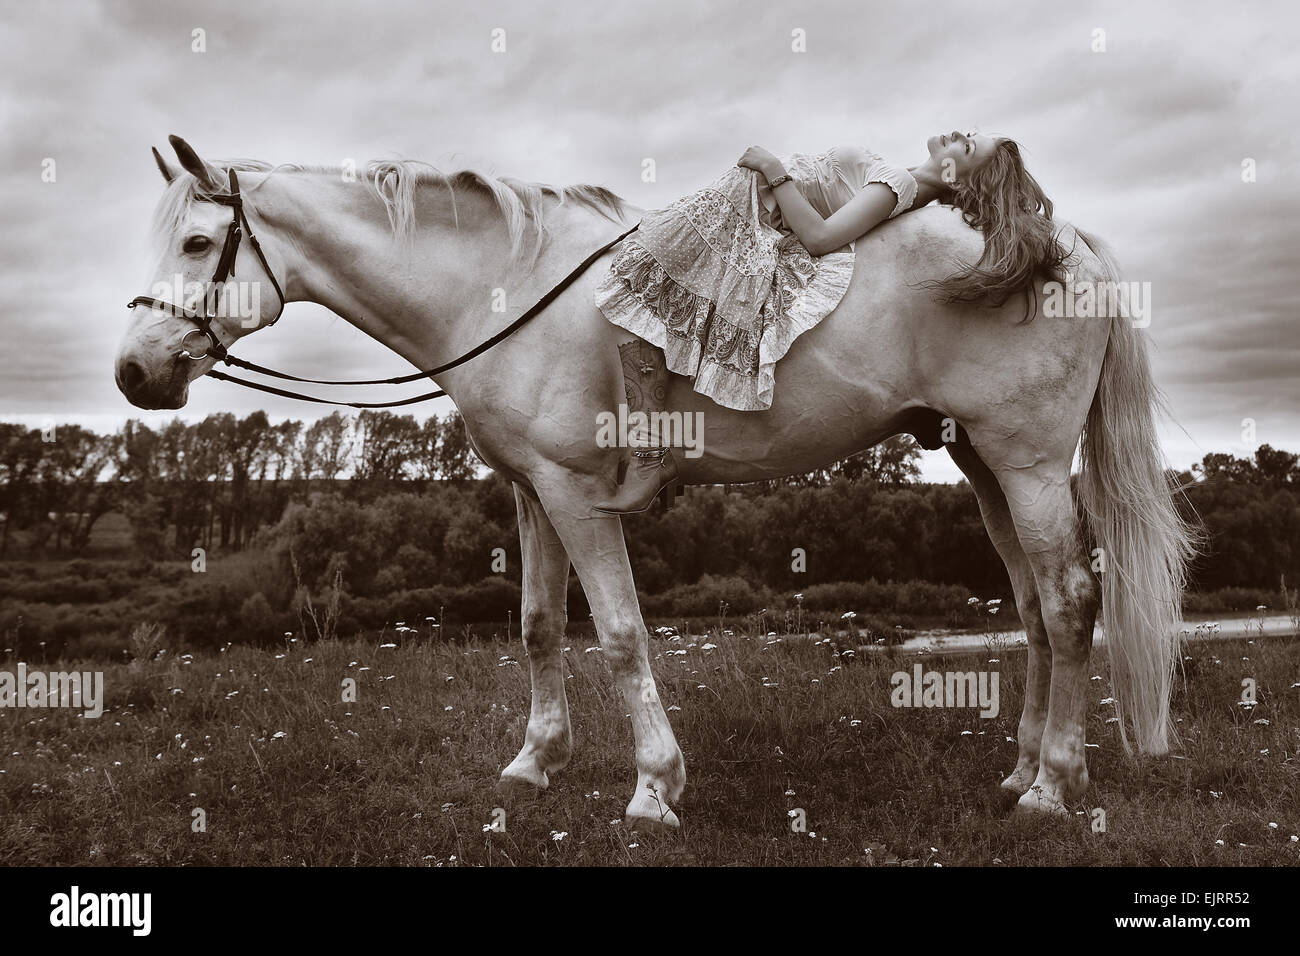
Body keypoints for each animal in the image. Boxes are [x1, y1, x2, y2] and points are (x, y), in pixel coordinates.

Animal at [116, 136, 1190, 832]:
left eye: (199, 245)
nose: (134, 373)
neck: (501, 291)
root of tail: (1064, 242)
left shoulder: (576, 496)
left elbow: (624, 636)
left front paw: (653, 790)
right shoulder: (531, 493)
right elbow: (537, 627)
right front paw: (532, 767)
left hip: (1030, 462)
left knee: (1070, 599)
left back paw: (1053, 787)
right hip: (984, 467)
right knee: (1034, 607)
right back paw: (1020, 775)